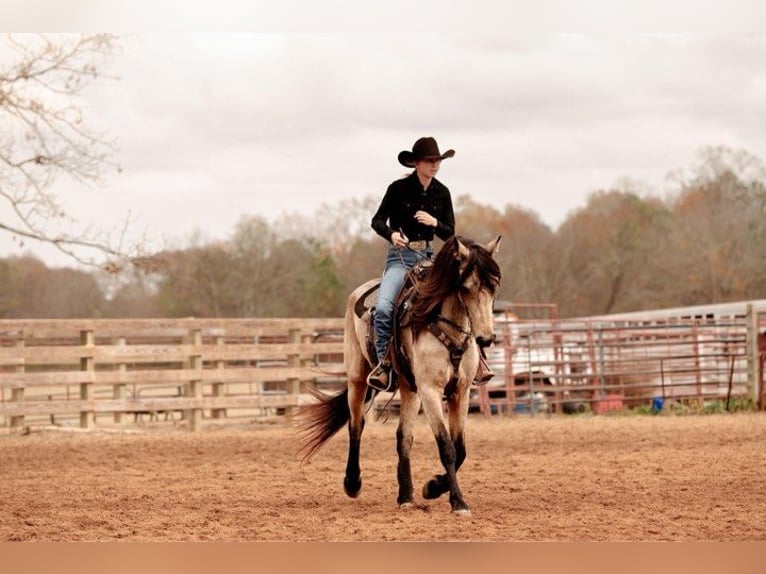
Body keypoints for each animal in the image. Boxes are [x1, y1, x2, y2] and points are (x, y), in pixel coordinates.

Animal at [296, 234, 504, 516]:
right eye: (467, 287)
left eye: (494, 288)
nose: (486, 338)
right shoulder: (430, 391)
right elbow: (447, 447)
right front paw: (458, 502)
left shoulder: (460, 392)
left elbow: (460, 448)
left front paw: (432, 487)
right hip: (358, 378)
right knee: (356, 425)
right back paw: (353, 483)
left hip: (409, 388)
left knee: (403, 436)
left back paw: (406, 495)